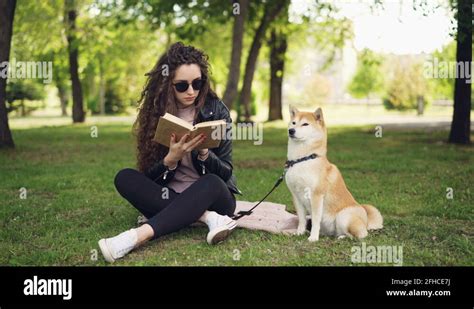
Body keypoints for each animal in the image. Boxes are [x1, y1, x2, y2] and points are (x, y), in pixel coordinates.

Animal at [284, 105, 384, 241]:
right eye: (293, 123)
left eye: (305, 124)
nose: (291, 130)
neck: (302, 159)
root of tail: (366, 221)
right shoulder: (296, 195)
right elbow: (301, 219)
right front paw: (299, 232)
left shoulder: (316, 195)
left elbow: (315, 220)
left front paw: (313, 238)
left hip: (344, 216)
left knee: (361, 234)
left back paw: (342, 237)